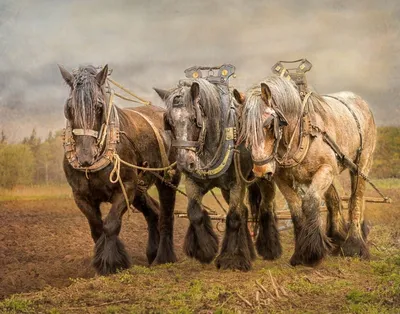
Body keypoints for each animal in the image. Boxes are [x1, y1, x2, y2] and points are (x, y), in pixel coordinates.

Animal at [58, 64, 180, 274]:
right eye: (69, 108)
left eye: (99, 107)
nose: (84, 157)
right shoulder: (81, 196)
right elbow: (97, 228)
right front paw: (101, 263)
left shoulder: (126, 188)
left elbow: (111, 225)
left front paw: (111, 263)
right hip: (140, 188)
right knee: (153, 213)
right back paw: (152, 253)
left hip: (168, 179)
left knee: (166, 216)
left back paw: (163, 258)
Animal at [155, 78, 280, 270]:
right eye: (169, 122)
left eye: (195, 119)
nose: (184, 163)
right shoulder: (193, 182)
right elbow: (194, 213)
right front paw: (205, 250)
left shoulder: (237, 184)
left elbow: (233, 217)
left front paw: (232, 258)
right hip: (226, 190)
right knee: (244, 211)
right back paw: (249, 251)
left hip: (264, 176)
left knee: (266, 208)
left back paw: (270, 249)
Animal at [238, 75, 378, 266]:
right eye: (244, 129)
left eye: (269, 125)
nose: (260, 170)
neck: (301, 133)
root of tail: (362, 102)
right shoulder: (282, 179)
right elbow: (296, 210)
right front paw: (300, 254)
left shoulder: (325, 169)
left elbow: (310, 202)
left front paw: (313, 252)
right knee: (334, 200)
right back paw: (337, 238)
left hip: (361, 165)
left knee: (356, 199)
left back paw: (354, 245)